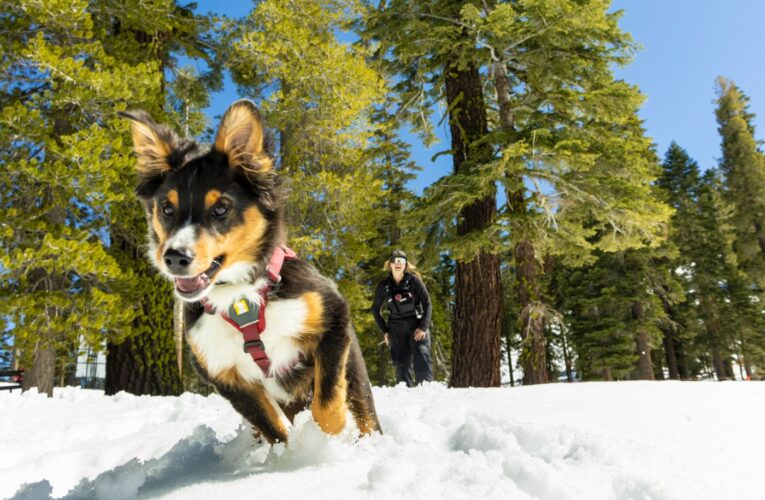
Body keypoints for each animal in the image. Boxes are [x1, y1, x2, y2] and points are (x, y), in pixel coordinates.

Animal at [121, 100, 382, 442]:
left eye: (221, 208)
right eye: (166, 208)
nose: (175, 258)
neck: (241, 299)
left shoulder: (332, 315)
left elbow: (326, 405)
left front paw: (329, 438)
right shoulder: (223, 373)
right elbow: (274, 428)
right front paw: (291, 452)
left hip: (355, 369)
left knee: (363, 411)